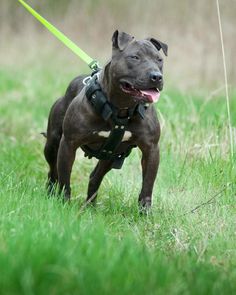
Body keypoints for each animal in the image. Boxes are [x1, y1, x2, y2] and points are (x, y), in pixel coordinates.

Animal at [43, 30, 168, 210]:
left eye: (159, 60)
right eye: (134, 57)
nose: (156, 76)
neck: (121, 110)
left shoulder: (151, 149)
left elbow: (147, 185)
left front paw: (145, 212)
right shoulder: (68, 144)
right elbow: (65, 179)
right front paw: (64, 204)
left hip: (112, 155)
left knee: (95, 176)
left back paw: (90, 206)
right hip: (53, 144)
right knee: (53, 171)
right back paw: (51, 192)